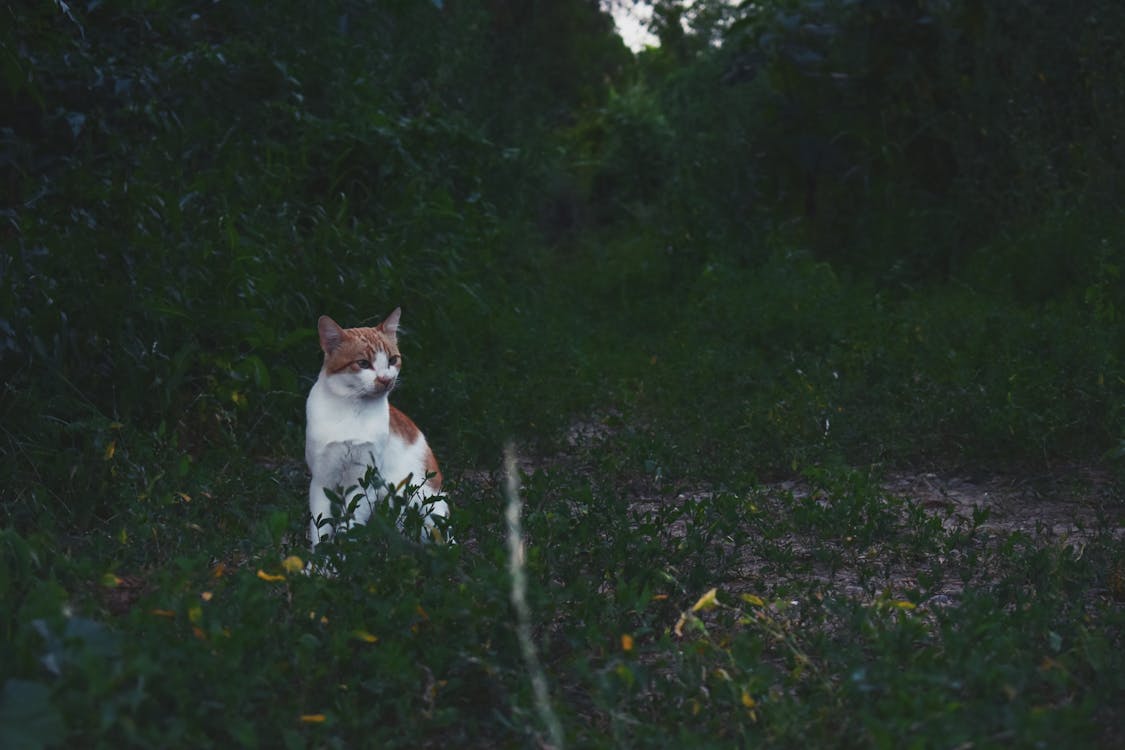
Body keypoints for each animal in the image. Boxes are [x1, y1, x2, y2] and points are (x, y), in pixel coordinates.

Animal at [308, 308, 452, 548]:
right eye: (363, 363)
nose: (386, 380)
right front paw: (318, 559)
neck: (352, 410)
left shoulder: (363, 483)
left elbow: (350, 528)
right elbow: (321, 533)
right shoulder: (323, 480)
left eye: (392, 360)